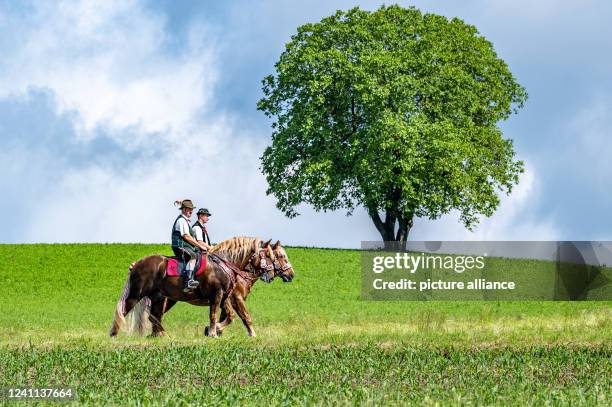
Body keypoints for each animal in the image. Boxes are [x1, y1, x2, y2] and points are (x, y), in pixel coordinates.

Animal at [109, 236, 296, 338]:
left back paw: (161, 335)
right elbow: (238, 316)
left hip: (160, 298)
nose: (291, 275)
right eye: (277, 256)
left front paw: (214, 331)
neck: (227, 265)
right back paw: (114, 334)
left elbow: (228, 317)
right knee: (125, 311)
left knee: (154, 317)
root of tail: (137, 263)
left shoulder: (225, 298)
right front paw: (214, 332)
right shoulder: (226, 296)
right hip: (137, 294)